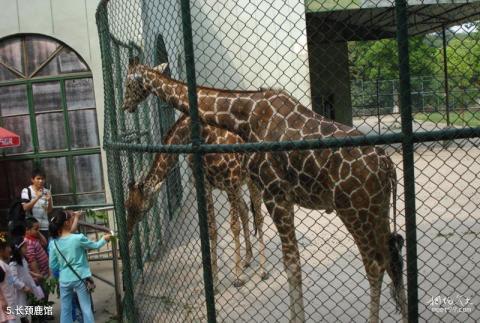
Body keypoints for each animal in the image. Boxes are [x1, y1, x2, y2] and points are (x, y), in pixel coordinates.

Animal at [124, 106, 268, 292]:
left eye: (142, 209)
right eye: (126, 205)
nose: (127, 234)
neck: (204, 135)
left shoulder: (231, 182)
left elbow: (233, 227)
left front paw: (237, 278)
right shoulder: (207, 186)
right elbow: (212, 230)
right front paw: (214, 282)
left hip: (250, 179)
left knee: (258, 216)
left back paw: (263, 270)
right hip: (238, 185)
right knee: (245, 210)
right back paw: (247, 259)